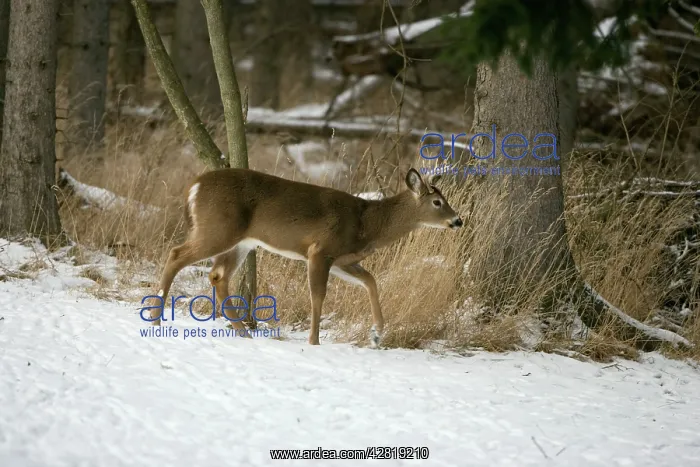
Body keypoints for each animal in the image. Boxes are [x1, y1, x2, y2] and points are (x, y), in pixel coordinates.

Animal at [148, 167, 463, 347]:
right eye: (438, 202)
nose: (458, 220)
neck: (367, 223)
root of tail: (194, 187)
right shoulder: (321, 250)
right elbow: (318, 296)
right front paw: (314, 341)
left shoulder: (342, 259)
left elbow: (371, 281)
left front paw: (376, 334)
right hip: (218, 229)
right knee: (176, 254)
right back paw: (154, 320)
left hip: (241, 241)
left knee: (217, 275)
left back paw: (243, 332)